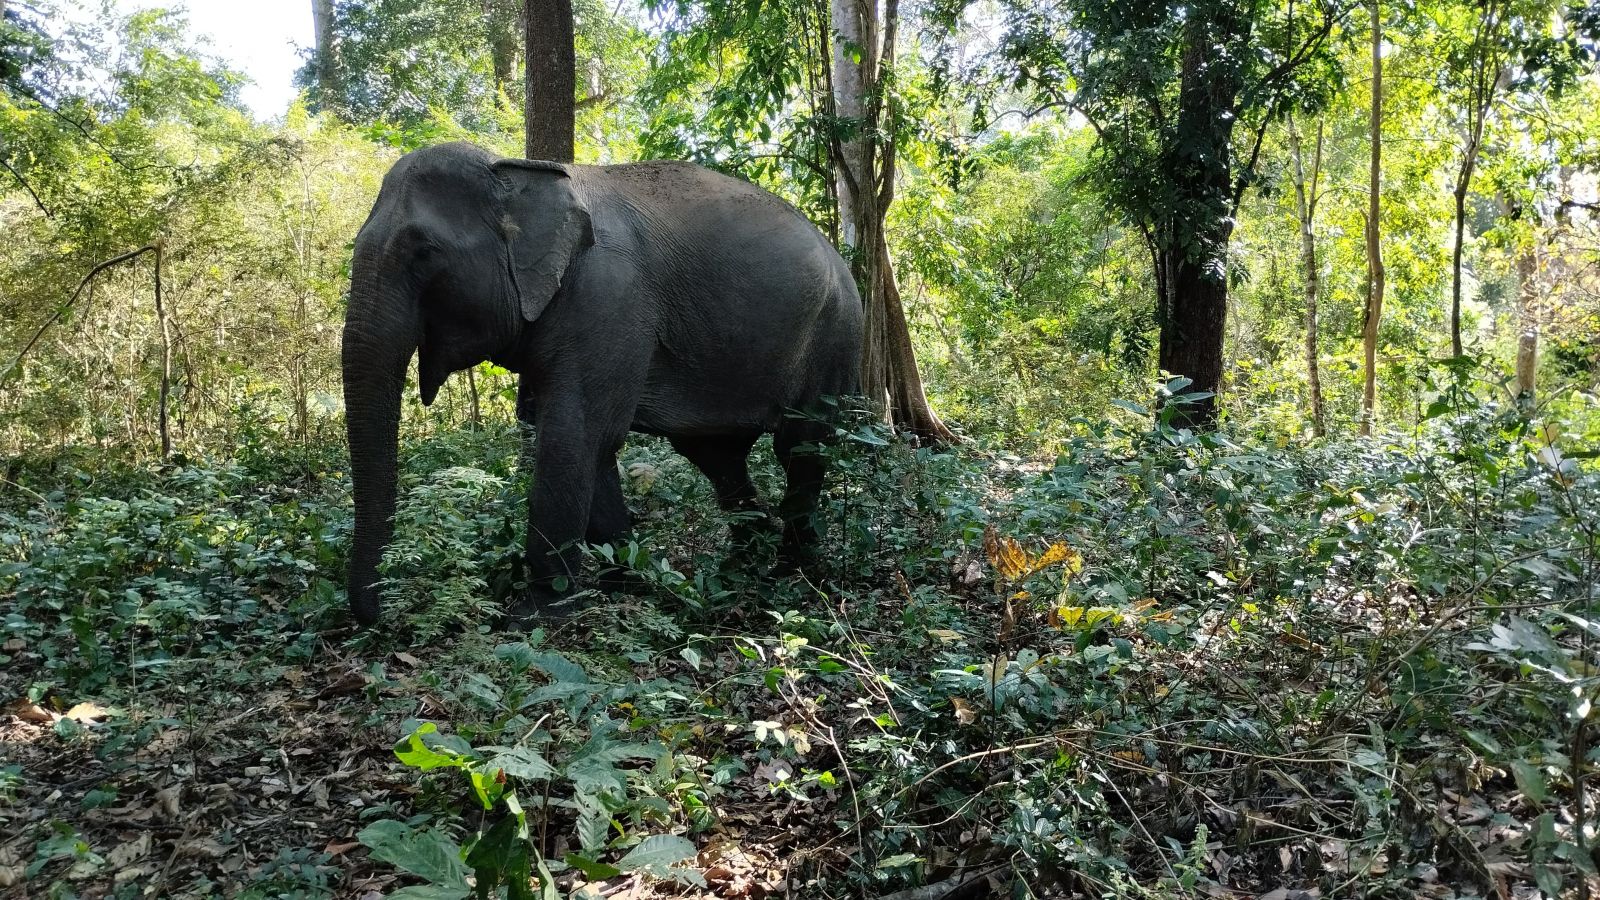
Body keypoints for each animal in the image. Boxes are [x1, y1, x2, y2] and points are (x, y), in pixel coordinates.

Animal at [342, 141, 864, 626]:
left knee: (801, 445)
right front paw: (626, 585)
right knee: (717, 455)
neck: (517, 170)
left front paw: (536, 612)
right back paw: (742, 565)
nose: (381, 615)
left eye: (423, 251)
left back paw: (791, 572)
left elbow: (575, 433)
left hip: (834, 334)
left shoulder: (609, 300)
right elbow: (590, 443)